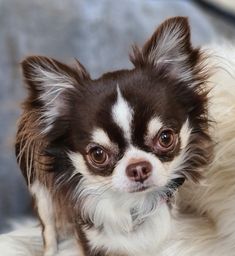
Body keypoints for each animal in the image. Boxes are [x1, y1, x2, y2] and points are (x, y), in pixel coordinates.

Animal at [15, 17, 235, 255]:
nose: (138, 168)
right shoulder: (92, 239)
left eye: (165, 138)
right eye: (98, 154)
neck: (133, 204)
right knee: (48, 228)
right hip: (39, 189)